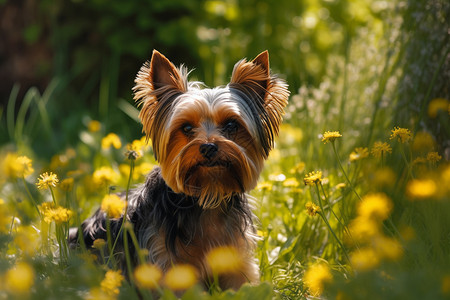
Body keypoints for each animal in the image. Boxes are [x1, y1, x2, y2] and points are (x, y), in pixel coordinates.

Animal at [69, 49, 290, 290]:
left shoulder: (236, 258)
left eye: (232, 125)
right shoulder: (164, 261)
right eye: (186, 127)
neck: (205, 197)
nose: (208, 147)